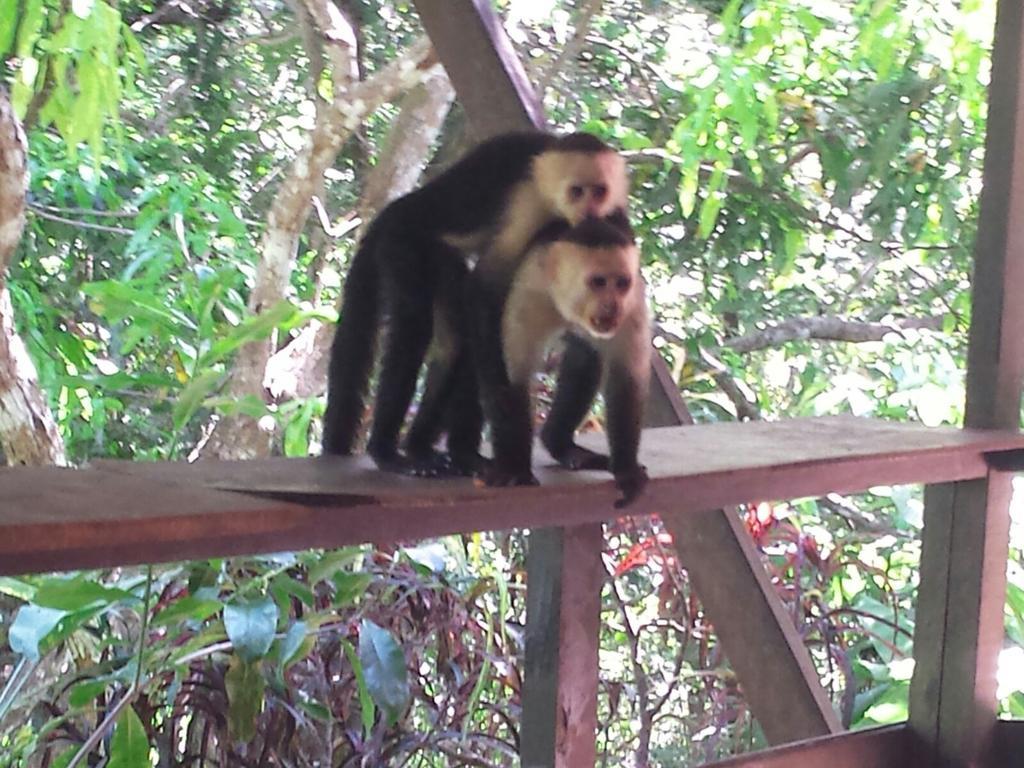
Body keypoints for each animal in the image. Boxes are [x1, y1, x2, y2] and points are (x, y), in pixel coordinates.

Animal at [477, 215, 651, 512]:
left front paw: (626, 469)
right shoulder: (530, 291)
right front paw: (516, 469)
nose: (612, 306)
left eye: (621, 283)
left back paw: (562, 446)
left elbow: (625, 381)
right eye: (598, 282)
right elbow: (515, 378)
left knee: (585, 357)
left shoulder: (632, 307)